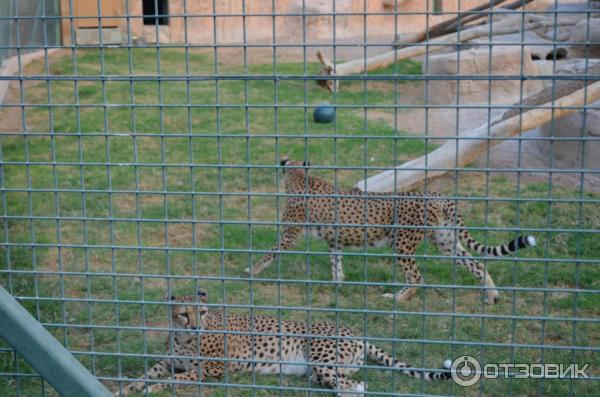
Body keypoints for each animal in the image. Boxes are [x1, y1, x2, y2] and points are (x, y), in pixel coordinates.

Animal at [113, 288, 450, 396]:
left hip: (320, 358)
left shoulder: (210, 371)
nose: (195, 327)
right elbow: (144, 374)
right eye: (184, 313)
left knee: (350, 386)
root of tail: (355, 331)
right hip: (322, 370)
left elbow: (172, 380)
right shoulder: (166, 362)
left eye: (203, 312)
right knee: (350, 382)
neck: (183, 336)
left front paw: (150, 389)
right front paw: (125, 388)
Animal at [246, 158, 536, 304]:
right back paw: (492, 294)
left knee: (417, 277)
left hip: (402, 243)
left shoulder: (289, 235)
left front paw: (252, 270)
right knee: (477, 264)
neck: (299, 177)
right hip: (444, 240)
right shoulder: (335, 239)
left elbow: (270, 253)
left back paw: (397, 298)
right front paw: (338, 282)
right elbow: (336, 261)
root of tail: (437, 194)